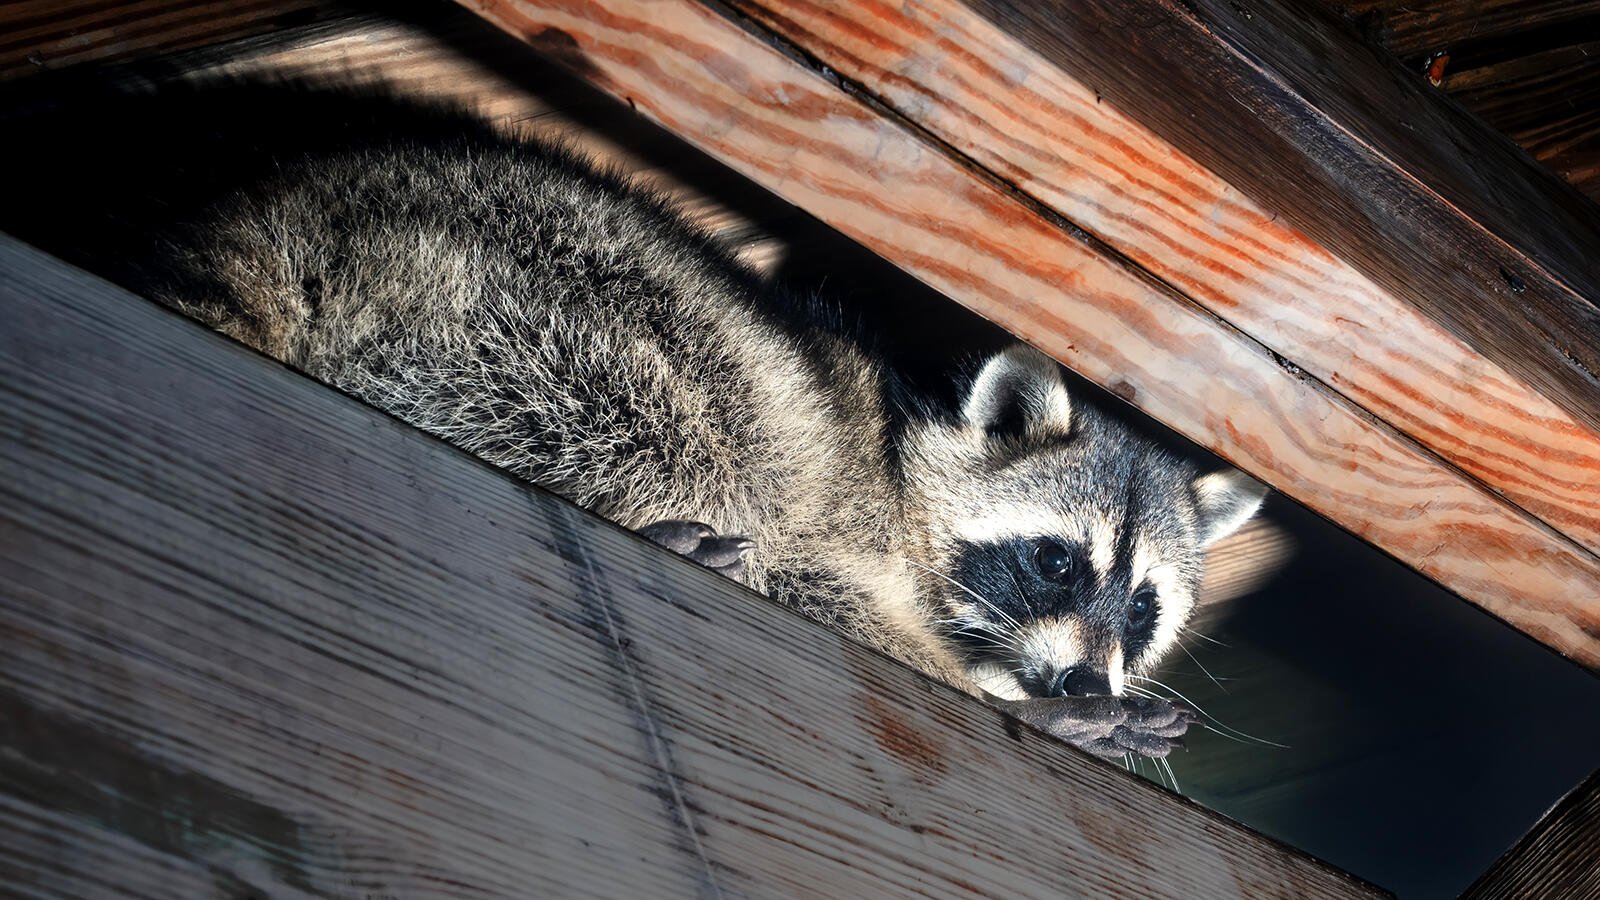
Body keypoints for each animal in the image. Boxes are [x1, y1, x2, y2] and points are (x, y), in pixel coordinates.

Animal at [6, 78, 1267, 755]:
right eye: (1055, 562)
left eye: (1143, 606)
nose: (1086, 686)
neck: (905, 459)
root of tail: (290, 206)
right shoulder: (838, 514)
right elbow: (814, 580)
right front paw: (998, 696)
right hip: (531, 300)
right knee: (680, 422)